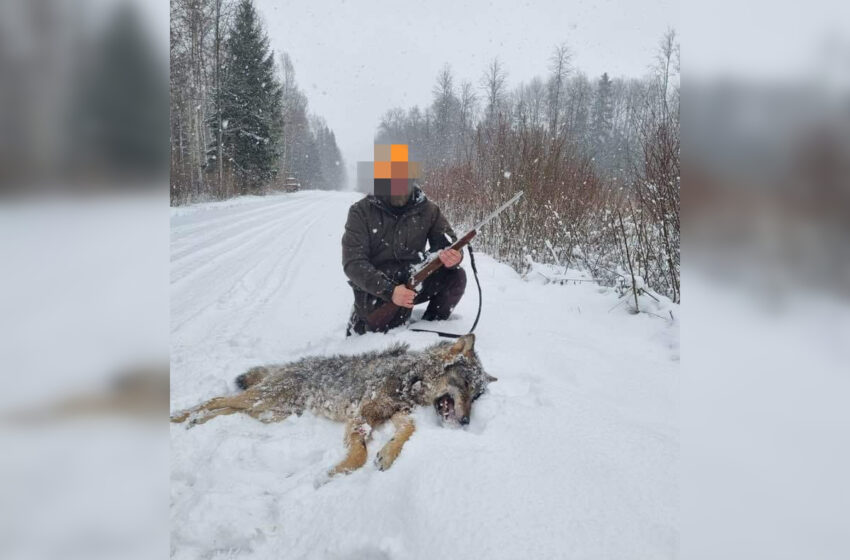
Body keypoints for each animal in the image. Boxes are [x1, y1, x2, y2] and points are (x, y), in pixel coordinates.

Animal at [169, 334, 494, 474]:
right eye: (466, 386)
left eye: (477, 396)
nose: (467, 422)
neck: (409, 382)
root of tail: (284, 367)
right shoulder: (360, 415)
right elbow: (359, 453)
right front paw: (338, 471)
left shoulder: (397, 415)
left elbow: (408, 430)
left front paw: (387, 454)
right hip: (262, 401)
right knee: (216, 400)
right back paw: (181, 418)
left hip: (269, 412)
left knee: (226, 409)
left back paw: (194, 422)